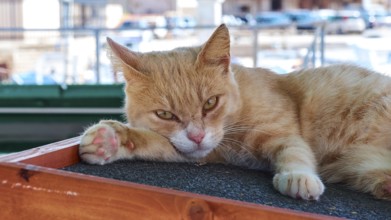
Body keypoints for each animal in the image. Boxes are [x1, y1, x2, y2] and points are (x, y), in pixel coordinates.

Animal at [79, 24, 391, 201]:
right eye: (165, 115)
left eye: (210, 103)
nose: (197, 136)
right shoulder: (199, 152)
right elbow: (153, 143)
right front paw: (110, 141)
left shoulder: (282, 132)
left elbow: (296, 153)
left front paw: (298, 177)